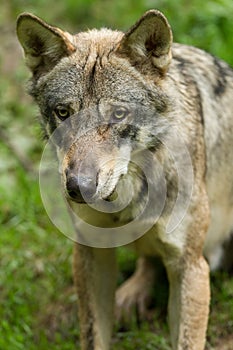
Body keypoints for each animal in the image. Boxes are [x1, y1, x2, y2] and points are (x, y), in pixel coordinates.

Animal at [16, 9, 233, 350]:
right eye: (64, 113)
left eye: (118, 115)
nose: (78, 187)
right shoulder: (90, 254)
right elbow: (94, 336)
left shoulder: (190, 265)